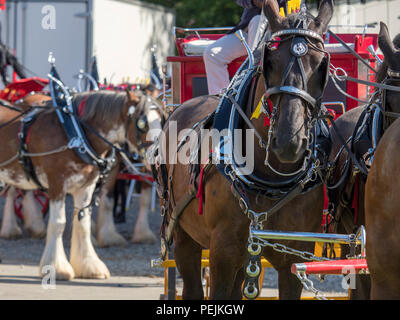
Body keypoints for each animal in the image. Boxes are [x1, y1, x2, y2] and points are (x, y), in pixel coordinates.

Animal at [0, 90, 145, 280]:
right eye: (142, 124)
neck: (75, 131)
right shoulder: (57, 183)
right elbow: (58, 223)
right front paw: (57, 268)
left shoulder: (86, 185)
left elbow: (83, 223)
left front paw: (90, 266)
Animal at [153, 0, 334, 300]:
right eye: (269, 61)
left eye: (321, 65)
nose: (289, 141)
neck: (271, 182)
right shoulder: (222, 254)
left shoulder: (295, 255)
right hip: (183, 234)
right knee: (192, 286)